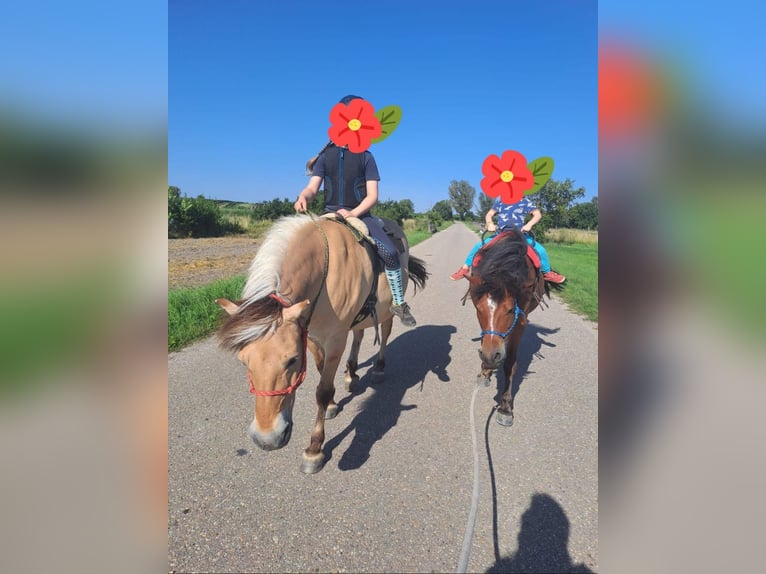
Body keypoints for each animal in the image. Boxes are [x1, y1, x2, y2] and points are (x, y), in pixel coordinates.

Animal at [216, 214, 428, 474]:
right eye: (243, 361)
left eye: (292, 360)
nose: (267, 439)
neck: (324, 274)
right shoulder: (311, 336)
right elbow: (320, 369)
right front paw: (333, 405)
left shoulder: (335, 338)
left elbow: (322, 390)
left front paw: (314, 449)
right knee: (358, 334)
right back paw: (351, 374)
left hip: (386, 311)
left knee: (385, 334)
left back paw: (378, 368)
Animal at [462, 230, 560, 428]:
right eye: (479, 309)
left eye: (509, 310)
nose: (491, 357)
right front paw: (485, 370)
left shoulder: (520, 322)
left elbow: (510, 364)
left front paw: (505, 407)